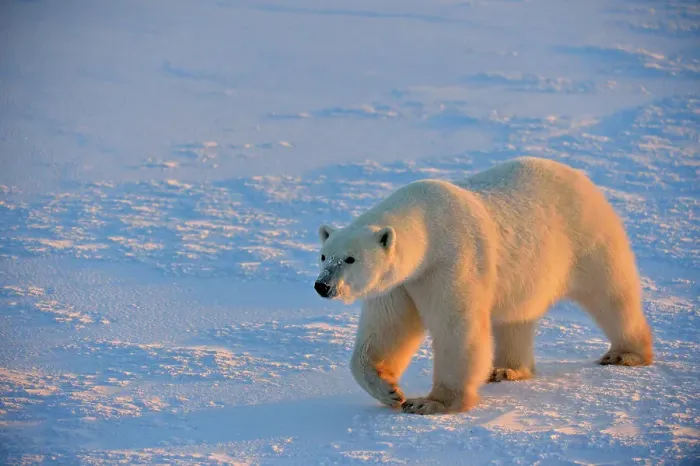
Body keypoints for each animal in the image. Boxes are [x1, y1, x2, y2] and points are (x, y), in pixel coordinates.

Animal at [314, 156, 653, 415]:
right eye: (324, 255)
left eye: (350, 259)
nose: (322, 286)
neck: (428, 225)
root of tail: (580, 177)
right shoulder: (402, 283)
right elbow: (386, 330)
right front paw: (389, 390)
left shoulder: (451, 261)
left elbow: (457, 328)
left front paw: (431, 403)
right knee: (516, 318)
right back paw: (506, 370)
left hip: (587, 238)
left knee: (611, 294)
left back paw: (625, 353)